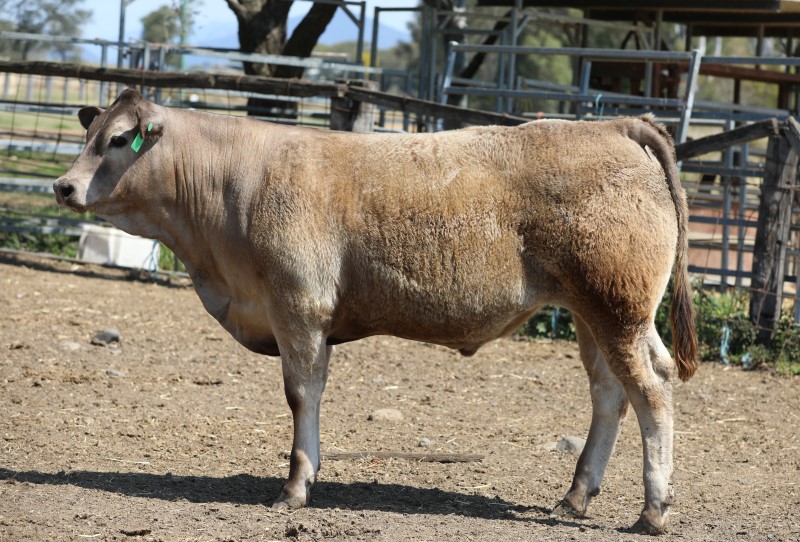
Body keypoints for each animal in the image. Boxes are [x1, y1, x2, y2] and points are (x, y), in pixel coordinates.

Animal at [54, 89, 697, 534]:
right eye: (92, 132)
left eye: (119, 140)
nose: (64, 186)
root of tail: (613, 126)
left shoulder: (299, 309)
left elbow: (301, 396)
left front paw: (295, 487)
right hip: (598, 316)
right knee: (611, 394)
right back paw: (575, 496)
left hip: (616, 310)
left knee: (651, 393)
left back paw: (654, 510)